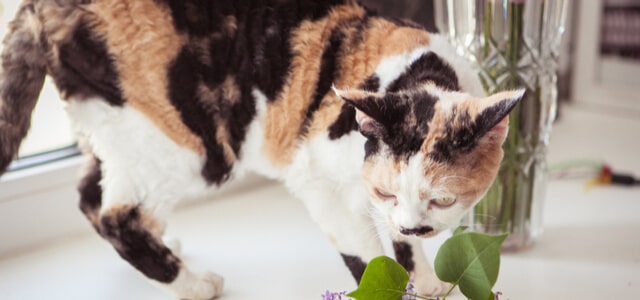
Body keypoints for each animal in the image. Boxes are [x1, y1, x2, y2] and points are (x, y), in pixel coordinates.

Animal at [0, 0, 524, 298]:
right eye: (388, 192)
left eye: (443, 199)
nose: (415, 224)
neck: (418, 76)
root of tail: (40, 7)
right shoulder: (319, 181)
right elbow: (366, 252)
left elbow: (402, 246)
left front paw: (426, 278)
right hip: (180, 141)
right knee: (116, 216)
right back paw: (193, 285)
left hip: (113, 130)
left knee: (90, 193)